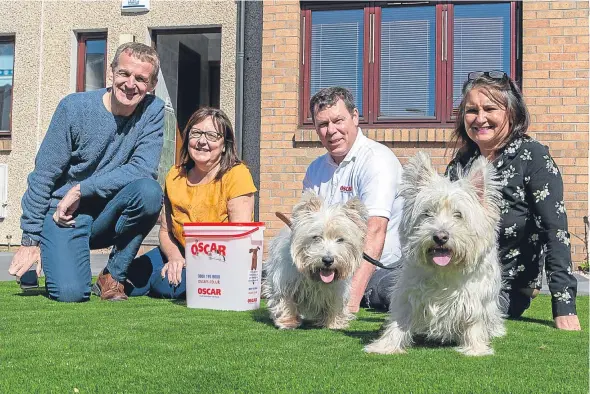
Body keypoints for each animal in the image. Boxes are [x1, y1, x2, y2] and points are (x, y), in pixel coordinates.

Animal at [262, 192, 366, 330]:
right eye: (316, 237)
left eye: (340, 239)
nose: (328, 260)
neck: (315, 276)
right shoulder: (285, 280)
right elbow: (286, 301)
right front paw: (288, 322)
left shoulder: (337, 289)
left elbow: (335, 303)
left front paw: (333, 323)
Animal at [366, 152, 508, 356]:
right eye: (427, 213)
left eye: (458, 214)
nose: (440, 236)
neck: (444, 271)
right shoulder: (408, 292)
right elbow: (400, 319)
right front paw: (385, 346)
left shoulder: (474, 297)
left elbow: (473, 321)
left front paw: (476, 349)